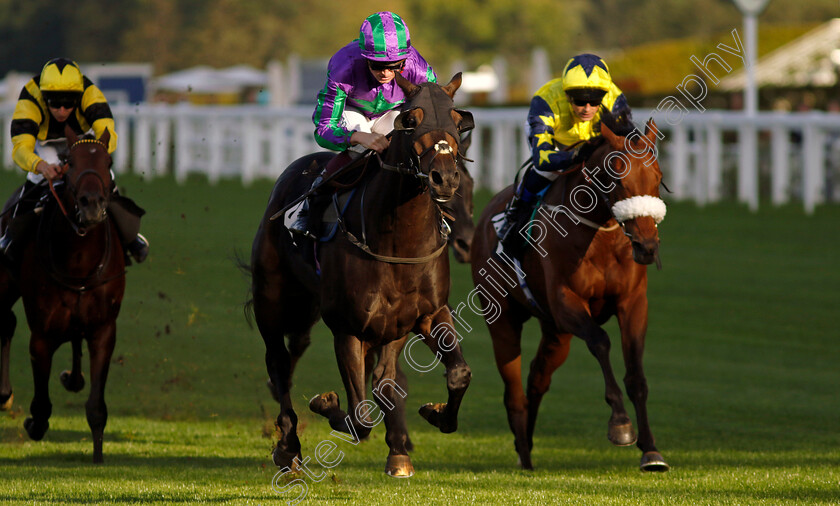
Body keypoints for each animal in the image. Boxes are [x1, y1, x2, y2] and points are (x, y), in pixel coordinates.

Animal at [0, 125, 126, 462]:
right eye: (70, 163)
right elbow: (42, 404)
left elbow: (96, 405)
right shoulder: (41, 334)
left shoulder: (103, 329)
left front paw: (98, 456)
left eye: (108, 161)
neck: (79, 261)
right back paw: (4, 394)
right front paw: (33, 424)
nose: (92, 204)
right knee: (5, 322)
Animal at [248, 73, 472, 476]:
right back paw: (287, 447)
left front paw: (433, 417)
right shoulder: (347, 326)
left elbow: (454, 374)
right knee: (279, 363)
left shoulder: (422, 315)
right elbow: (359, 415)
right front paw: (324, 403)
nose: (444, 178)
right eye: (410, 120)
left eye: (457, 120)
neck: (398, 244)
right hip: (270, 299)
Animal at [470, 112, 672, 472]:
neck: (601, 235)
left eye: (658, 176)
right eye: (616, 178)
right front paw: (620, 425)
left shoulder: (633, 303)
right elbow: (601, 342)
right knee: (514, 392)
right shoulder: (567, 302)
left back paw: (527, 448)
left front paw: (651, 450)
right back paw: (524, 455)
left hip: (555, 332)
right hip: (503, 319)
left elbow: (636, 374)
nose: (647, 246)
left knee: (537, 376)